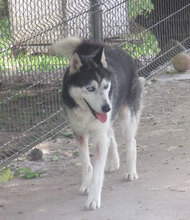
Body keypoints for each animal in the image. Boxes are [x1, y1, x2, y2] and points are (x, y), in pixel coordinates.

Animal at [51, 38, 142, 210]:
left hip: (127, 116)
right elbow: (86, 164)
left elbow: (98, 173)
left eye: (106, 86)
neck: (86, 113)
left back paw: (131, 171)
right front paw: (86, 185)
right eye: (90, 88)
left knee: (131, 142)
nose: (107, 107)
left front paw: (93, 198)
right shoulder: (79, 133)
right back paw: (113, 161)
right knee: (111, 135)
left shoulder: (99, 135)